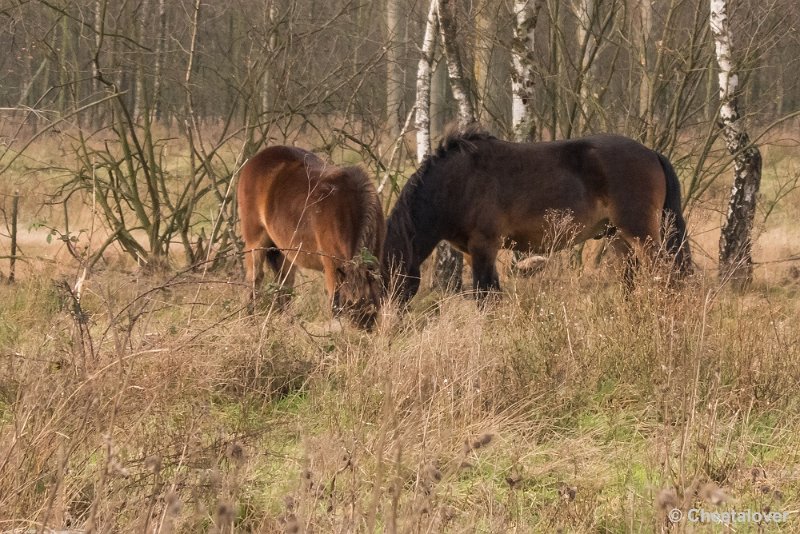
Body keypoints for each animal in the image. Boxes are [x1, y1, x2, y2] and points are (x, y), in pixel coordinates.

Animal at [238, 148, 384, 330]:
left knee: (284, 284)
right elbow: (334, 304)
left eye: (372, 306)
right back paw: (250, 321)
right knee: (254, 279)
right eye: (349, 305)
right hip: (255, 243)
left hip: (286, 251)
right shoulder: (331, 267)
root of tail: (257, 158)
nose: (362, 331)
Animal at [384, 123, 692, 304]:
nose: (383, 328)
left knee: (667, 275)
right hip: (618, 239)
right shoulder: (474, 252)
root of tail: (651, 153)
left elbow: (486, 296)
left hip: (640, 234)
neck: (457, 182)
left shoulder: (484, 246)